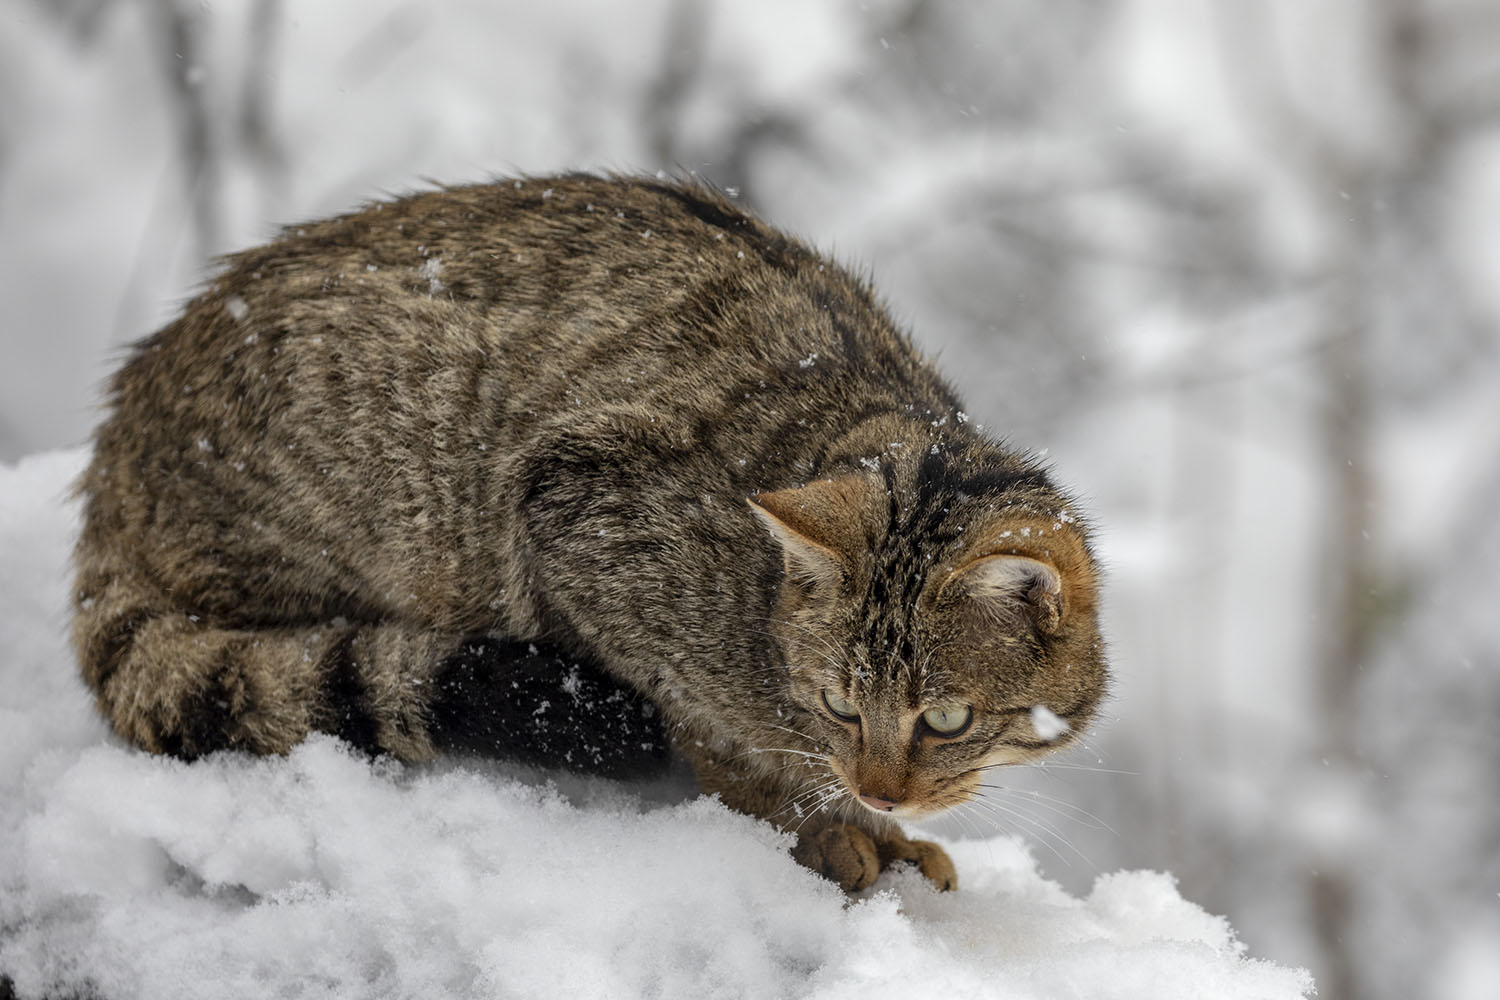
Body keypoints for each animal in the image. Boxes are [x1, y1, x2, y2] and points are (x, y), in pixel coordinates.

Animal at [76, 173, 1110, 893]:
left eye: (947, 721)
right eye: (840, 706)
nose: (883, 791)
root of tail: (114, 448)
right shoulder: (580, 518)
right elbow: (721, 748)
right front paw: (822, 823)